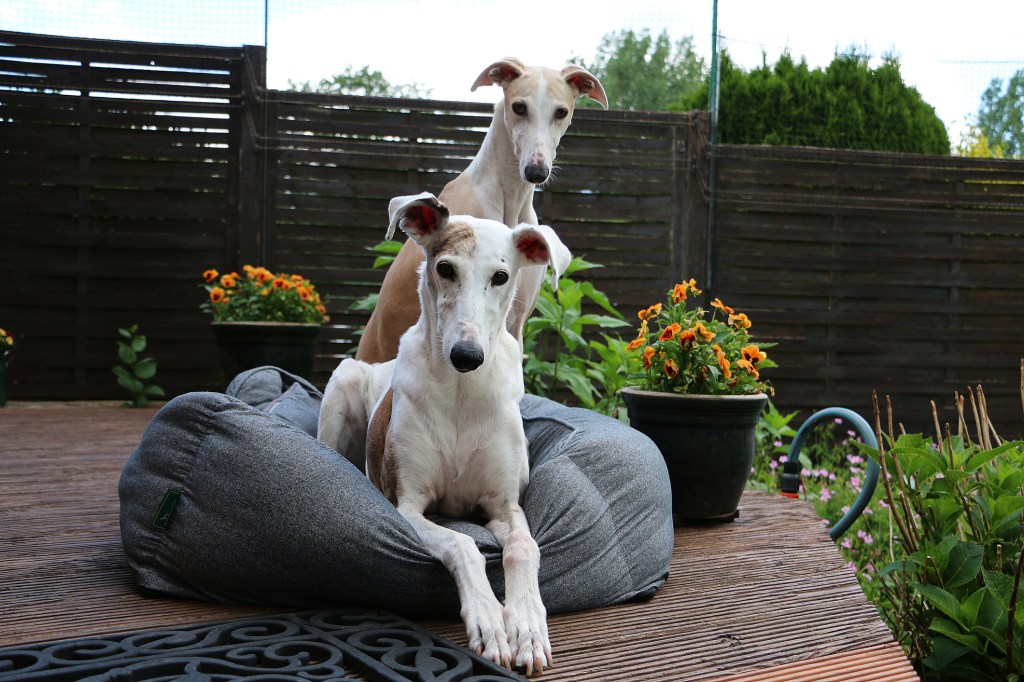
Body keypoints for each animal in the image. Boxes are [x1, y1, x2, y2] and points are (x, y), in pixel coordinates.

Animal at [321, 191, 569, 675]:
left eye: (500, 276)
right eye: (445, 268)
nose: (466, 355)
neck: (460, 393)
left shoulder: (504, 503)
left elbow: (524, 546)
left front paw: (527, 626)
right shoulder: (409, 506)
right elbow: (462, 542)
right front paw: (490, 621)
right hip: (344, 378)